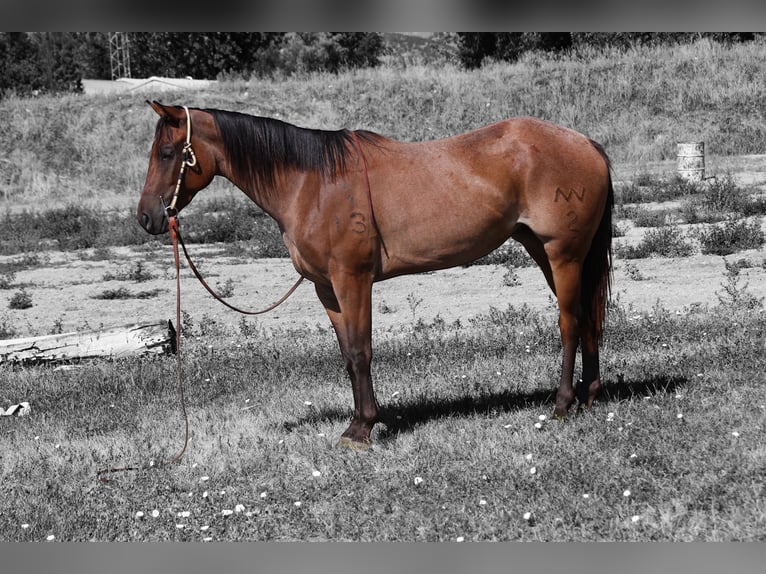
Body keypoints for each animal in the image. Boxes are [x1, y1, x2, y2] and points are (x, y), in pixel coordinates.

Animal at [137, 101, 613, 449]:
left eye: (167, 153)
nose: (146, 218)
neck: (311, 184)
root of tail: (586, 144)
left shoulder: (353, 280)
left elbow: (361, 351)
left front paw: (365, 428)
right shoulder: (327, 289)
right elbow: (348, 355)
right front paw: (356, 425)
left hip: (562, 254)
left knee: (570, 323)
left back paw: (563, 404)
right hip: (547, 251)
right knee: (589, 319)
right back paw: (590, 396)